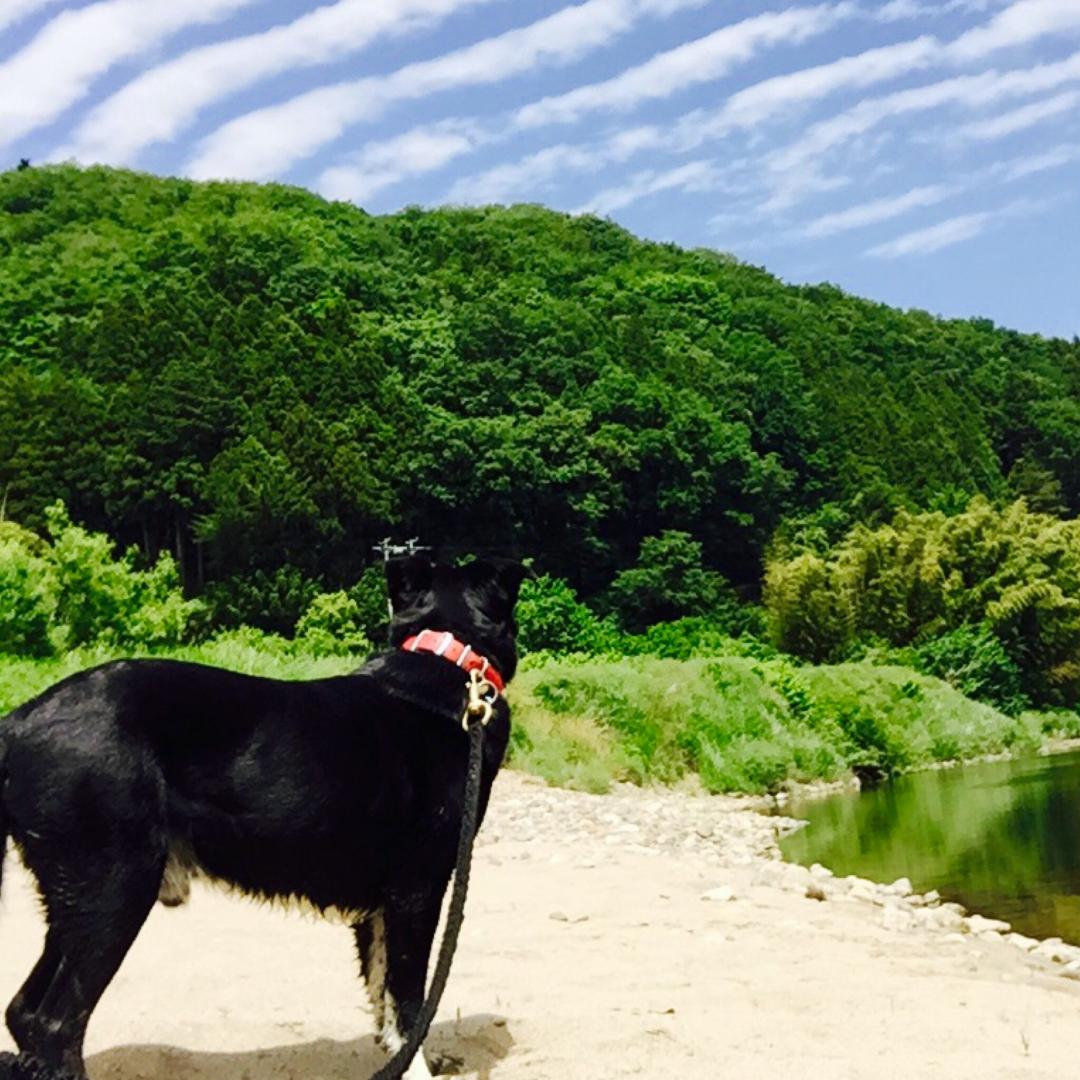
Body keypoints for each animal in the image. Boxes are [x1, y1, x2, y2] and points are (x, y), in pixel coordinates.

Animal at [0, 557, 522, 1080]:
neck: (449, 660)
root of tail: (17, 722)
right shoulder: (417, 892)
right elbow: (411, 1002)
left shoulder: (381, 908)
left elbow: (386, 1000)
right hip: (116, 890)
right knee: (57, 1023)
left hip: (78, 900)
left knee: (24, 1010)